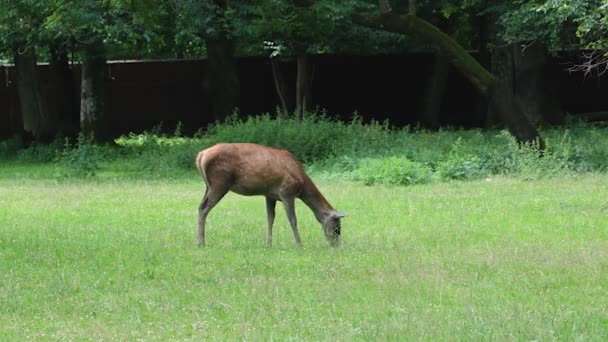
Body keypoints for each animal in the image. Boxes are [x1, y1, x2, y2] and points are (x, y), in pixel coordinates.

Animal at [196, 143, 344, 247]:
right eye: (337, 228)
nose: (336, 245)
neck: (302, 186)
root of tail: (201, 155)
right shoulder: (287, 192)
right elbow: (293, 219)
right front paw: (299, 244)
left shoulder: (270, 195)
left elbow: (270, 218)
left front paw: (268, 243)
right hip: (220, 183)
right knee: (204, 208)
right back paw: (201, 243)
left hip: (208, 185)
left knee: (200, 206)